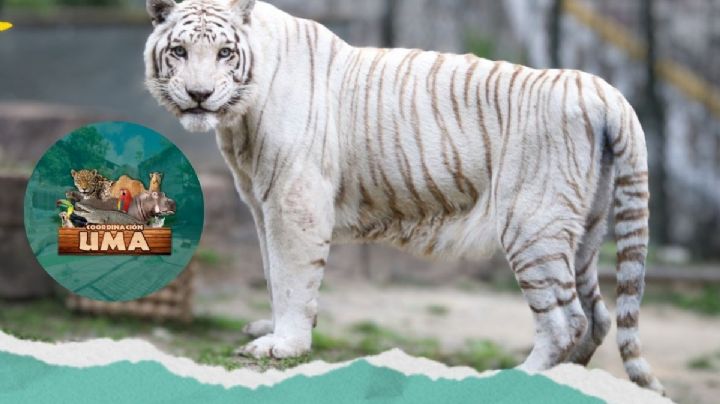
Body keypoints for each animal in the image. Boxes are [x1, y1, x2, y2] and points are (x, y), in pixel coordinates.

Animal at [144, 0, 664, 394]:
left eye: (225, 53)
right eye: (180, 51)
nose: (199, 95)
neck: (239, 121)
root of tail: (602, 90)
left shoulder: (294, 200)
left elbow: (293, 278)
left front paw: (284, 345)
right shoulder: (261, 204)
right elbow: (274, 275)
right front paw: (270, 331)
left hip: (531, 225)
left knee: (565, 321)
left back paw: (519, 379)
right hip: (584, 232)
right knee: (598, 315)